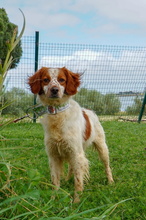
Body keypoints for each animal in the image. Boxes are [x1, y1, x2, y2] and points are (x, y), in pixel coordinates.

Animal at [27, 67, 114, 203]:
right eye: (46, 80)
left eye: (62, 80)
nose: (54, 90)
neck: (57, 114)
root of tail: (90, 111)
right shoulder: (53, 155)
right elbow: (55, 181)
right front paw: (53, 200)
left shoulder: (77, 154)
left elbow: (78, 181)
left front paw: (76, 201)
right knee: (71, 168)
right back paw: (68, 179)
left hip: (102, 147)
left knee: (107, 166)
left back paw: (110, 181)